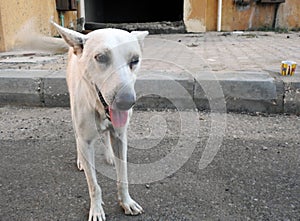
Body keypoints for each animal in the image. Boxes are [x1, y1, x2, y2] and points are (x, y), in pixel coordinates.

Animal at [52, 21, 149, 221]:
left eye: (135, 60)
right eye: (101, 57)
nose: (127, 102)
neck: (98, 107)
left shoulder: (120, 137)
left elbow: (123, 176)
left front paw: (126, 202)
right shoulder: (86, 140)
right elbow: (94, 185)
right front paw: (96, 210)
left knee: (105, 136)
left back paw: (109, 155)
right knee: (77, 136)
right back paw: (81, 160)